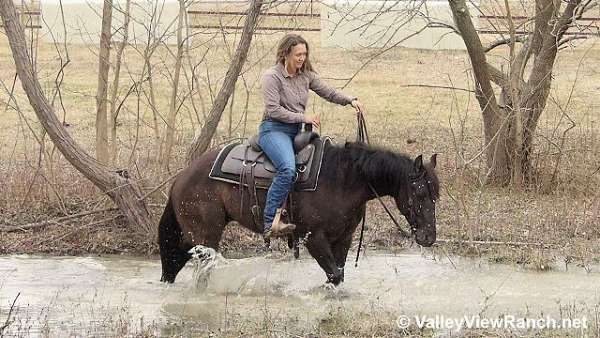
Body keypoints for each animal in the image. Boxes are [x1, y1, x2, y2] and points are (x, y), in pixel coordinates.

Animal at [159, 140, 440, 286]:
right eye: (420, 194)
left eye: (435, 194)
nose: (429, 237)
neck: (343, 181)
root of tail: (181, 178)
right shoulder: (313, 237)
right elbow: (334, 274)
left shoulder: (344, 238)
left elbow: (338, 274)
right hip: (206, 234)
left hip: (191, 235)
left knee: (174, 257)